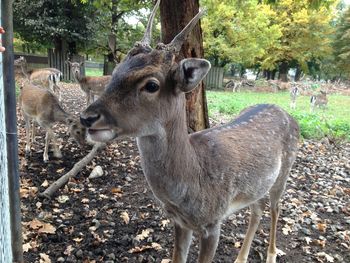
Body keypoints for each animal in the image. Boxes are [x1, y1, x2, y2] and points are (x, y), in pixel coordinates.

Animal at [80, 1, 300, 262]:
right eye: (114, 74)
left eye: (151, 85)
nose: (87, 117)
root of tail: (286, 113)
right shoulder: (179, 222)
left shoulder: (213, 223)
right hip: (258, 186)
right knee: (257, 209)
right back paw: (241, 257)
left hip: (285, 171)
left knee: (276, 207)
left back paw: (272, 254)